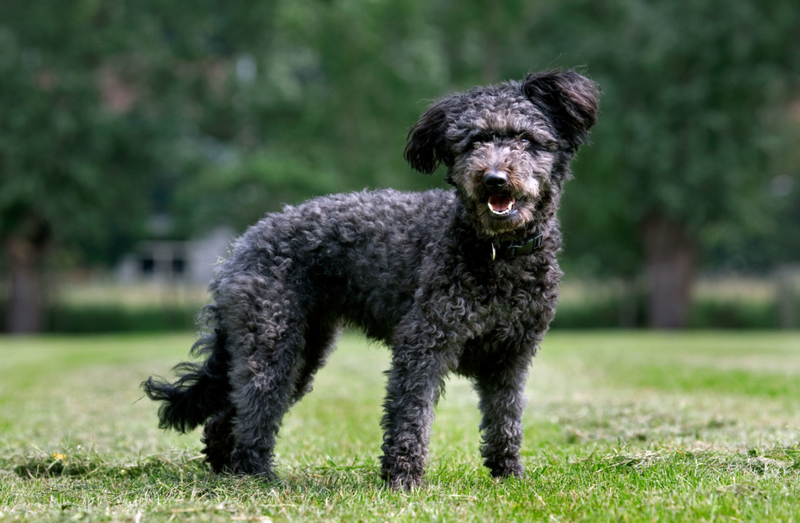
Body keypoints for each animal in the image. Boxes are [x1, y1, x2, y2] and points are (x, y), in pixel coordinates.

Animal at [141, 69, 596, 492]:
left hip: (303, 350)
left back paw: (228, 469)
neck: (496, 253)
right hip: (271, 344)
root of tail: (243, 244)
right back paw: (257, 474)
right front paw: (404, 479)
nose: (494, 179)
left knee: (227, 415)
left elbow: (506, 421)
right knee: (255, 409)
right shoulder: (423, 346)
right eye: (472, 143)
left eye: (525, 139)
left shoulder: (511, 358)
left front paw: (508, 475)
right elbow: (410, 416)